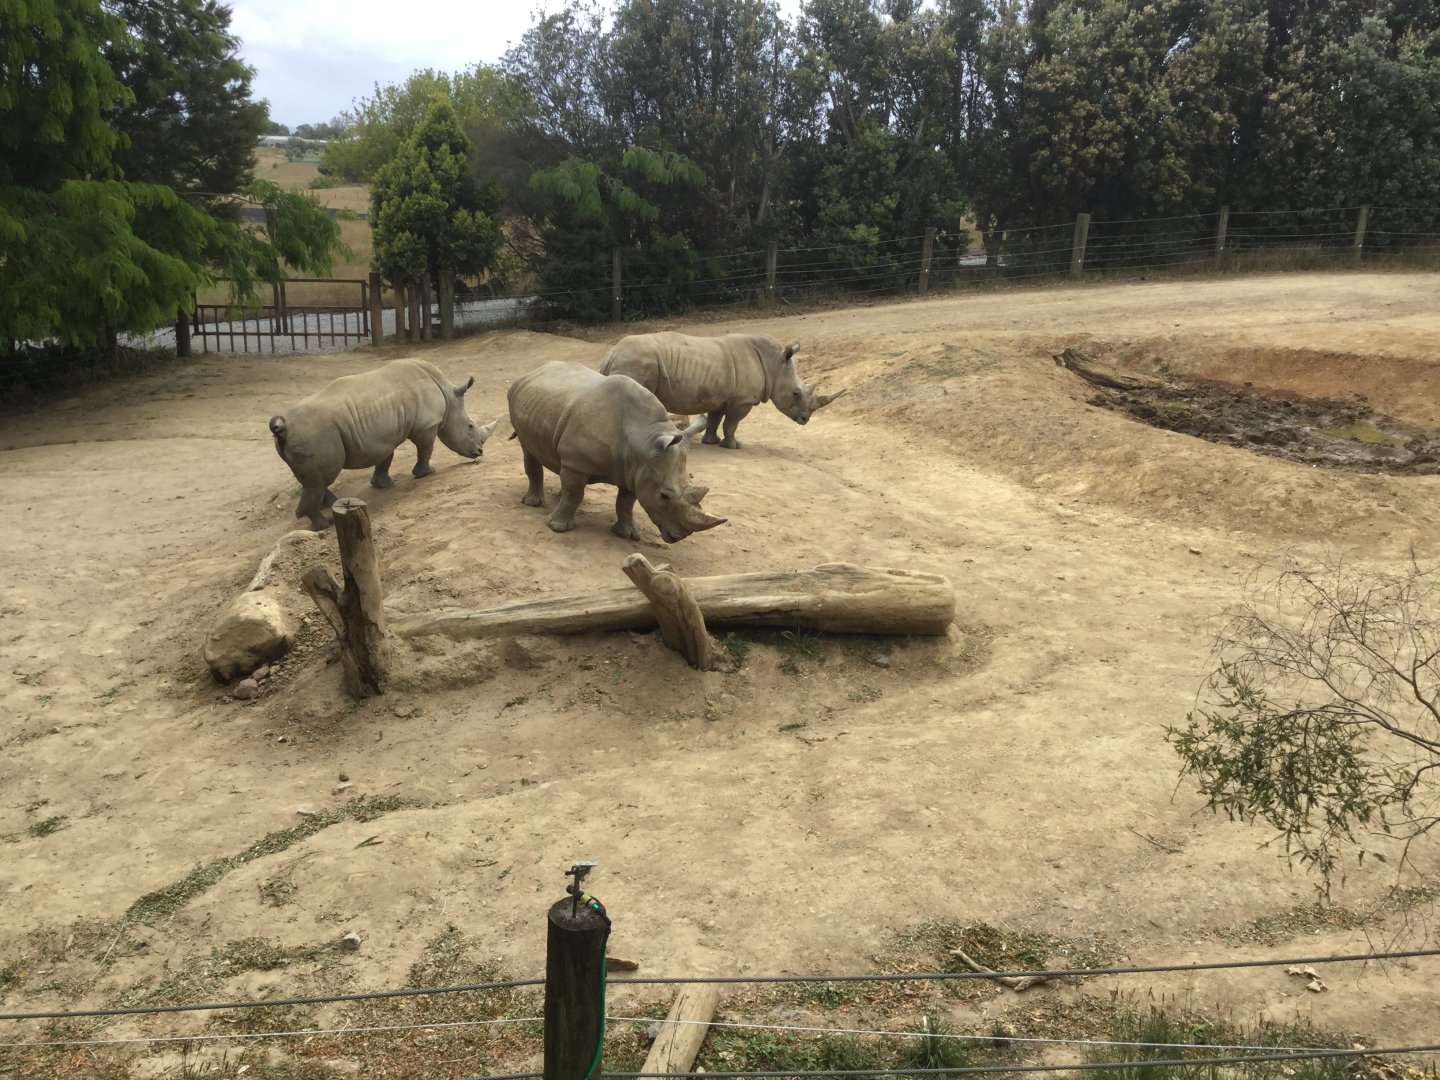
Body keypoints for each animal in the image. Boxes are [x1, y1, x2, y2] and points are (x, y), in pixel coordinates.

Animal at [269, 358, 502, 530]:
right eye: (470, 426)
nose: (480, 451)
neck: (447, 394)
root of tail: (284, 428)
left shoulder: (382, 438)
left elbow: (385, 458)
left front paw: (384, 484)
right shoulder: (427, 425)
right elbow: (425, 448)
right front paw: (426, 473)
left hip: (308, 438)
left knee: (315, 480)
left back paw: (329, 504)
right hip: (316, 435)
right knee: (320, 479)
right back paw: (325, 524)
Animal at [507, 360, 727, 543]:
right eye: (664, 496)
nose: (680, 536)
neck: (644, 439)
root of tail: (533, 372)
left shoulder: (636, 471)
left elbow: (625, 503)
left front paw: (627, 535)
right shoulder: (577, 463)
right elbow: (573, 494)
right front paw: (557, 528)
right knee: (529, 452)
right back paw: (533, 503)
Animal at [598, 332, 845, 448]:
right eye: (796, 393)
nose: (805, 420)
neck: (775, 364)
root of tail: (611, 353)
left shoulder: (718, 396)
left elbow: (714, 419)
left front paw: (711, 442)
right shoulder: (743, 401)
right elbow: (731, 423)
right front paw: (733, 446)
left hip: (630, 361)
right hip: (636, 362)